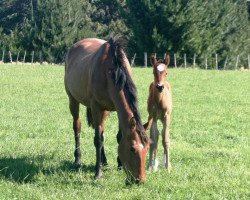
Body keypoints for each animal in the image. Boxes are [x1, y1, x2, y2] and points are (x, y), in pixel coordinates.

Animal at [65, 36, 148, 184]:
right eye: (132, 149)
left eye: (148, 148)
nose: (140, 180)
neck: (111, 72)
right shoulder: (96, 107)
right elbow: (98, 140)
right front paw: (98, 173)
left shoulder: (115, 109)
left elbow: (118, 136)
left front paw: (120, 165)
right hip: (73, 100)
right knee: (77, 127)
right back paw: (78, 159)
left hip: (105, 111)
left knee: (101, 131)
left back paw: (104, 161)